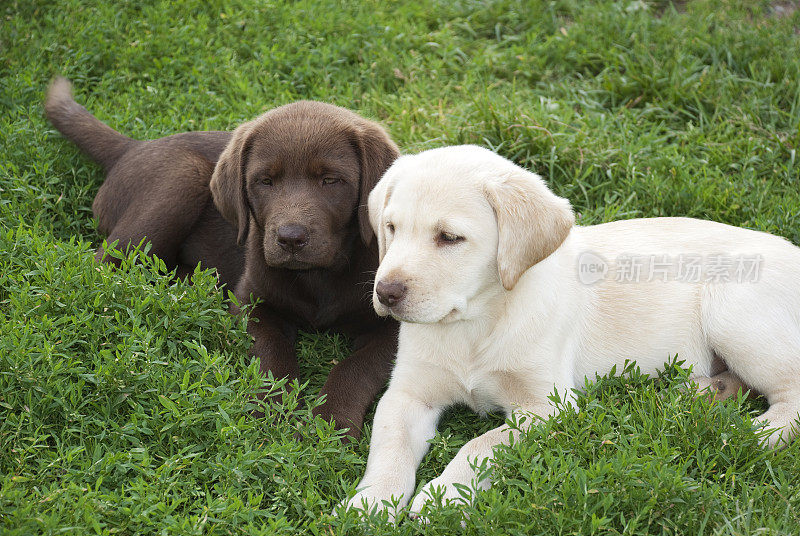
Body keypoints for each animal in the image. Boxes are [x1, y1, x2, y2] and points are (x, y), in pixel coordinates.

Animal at [344, 143, 800, 520]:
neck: (476, 321)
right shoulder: (407, 395)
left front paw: (445, 497)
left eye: (450, 237)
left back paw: (747, 434)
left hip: (733, 312)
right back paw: (704, 394)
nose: (385, 292)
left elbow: (482, 445)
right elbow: (388, 448)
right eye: (391, 228)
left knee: (791, 393)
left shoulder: (547, 406)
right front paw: (370, 502)